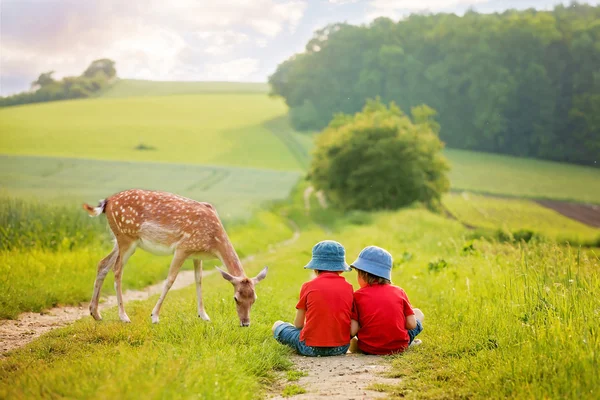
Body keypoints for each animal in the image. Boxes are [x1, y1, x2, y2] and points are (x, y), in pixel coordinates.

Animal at [82, 189, 268, 326]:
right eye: (236, 298)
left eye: (254, 299)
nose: (245, 323)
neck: (213, 242)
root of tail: (106, 202)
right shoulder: (182, 248)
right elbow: (170, 280)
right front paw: (155, 316)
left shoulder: (196, 254)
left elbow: (199, 280)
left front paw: (204, 315)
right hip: (127, 238)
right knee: (117, 270)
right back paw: (124, 316)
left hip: (119, 239)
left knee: (102, 264)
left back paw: (95, 313)